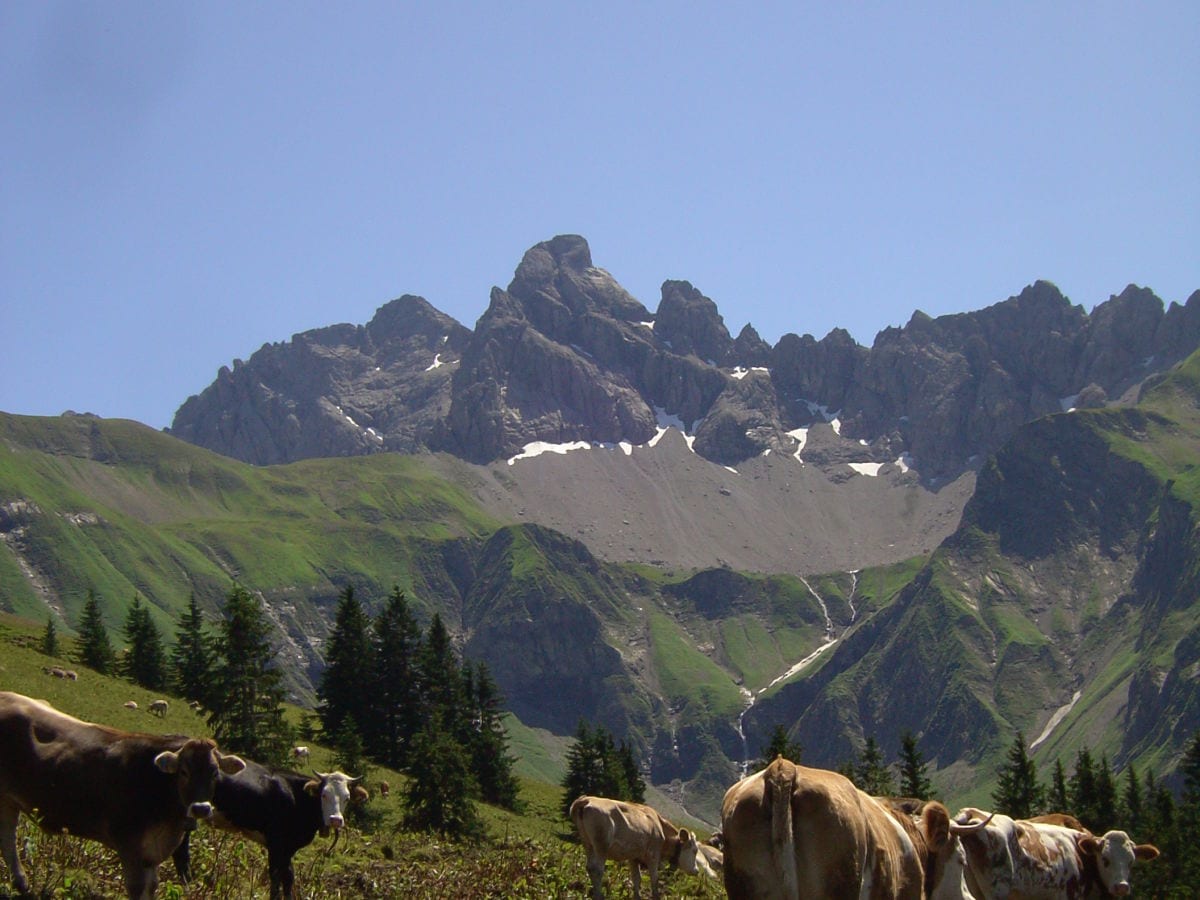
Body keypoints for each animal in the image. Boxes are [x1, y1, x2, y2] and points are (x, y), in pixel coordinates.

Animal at [0, 696, 244, 897]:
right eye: (184, 772)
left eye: (215, 773)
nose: (201, 808)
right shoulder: (130, 847)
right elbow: (137, 888)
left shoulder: (151, 856)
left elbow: (151, 887)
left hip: (9, 801)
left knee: (7, 839)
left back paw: (22, 885)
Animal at [169, 763, 364, 900]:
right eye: (324, 794)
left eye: (347, 798)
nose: (335, 819)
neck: (297, 797)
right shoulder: (276, 844)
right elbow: (276, 875)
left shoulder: (288, 848)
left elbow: (289, 876)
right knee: (181, 852)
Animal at [568, 796, 700, 900]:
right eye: (694, 851)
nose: (697, 870)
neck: (660, 827)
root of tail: (587, 799)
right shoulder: (653, 855)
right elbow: (654, 879)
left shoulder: (633, 857)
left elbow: (636, 879)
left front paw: (637, 896)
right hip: (601, 846)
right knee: (597, 870)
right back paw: (599, 896)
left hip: (588, 844)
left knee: (589, 867)